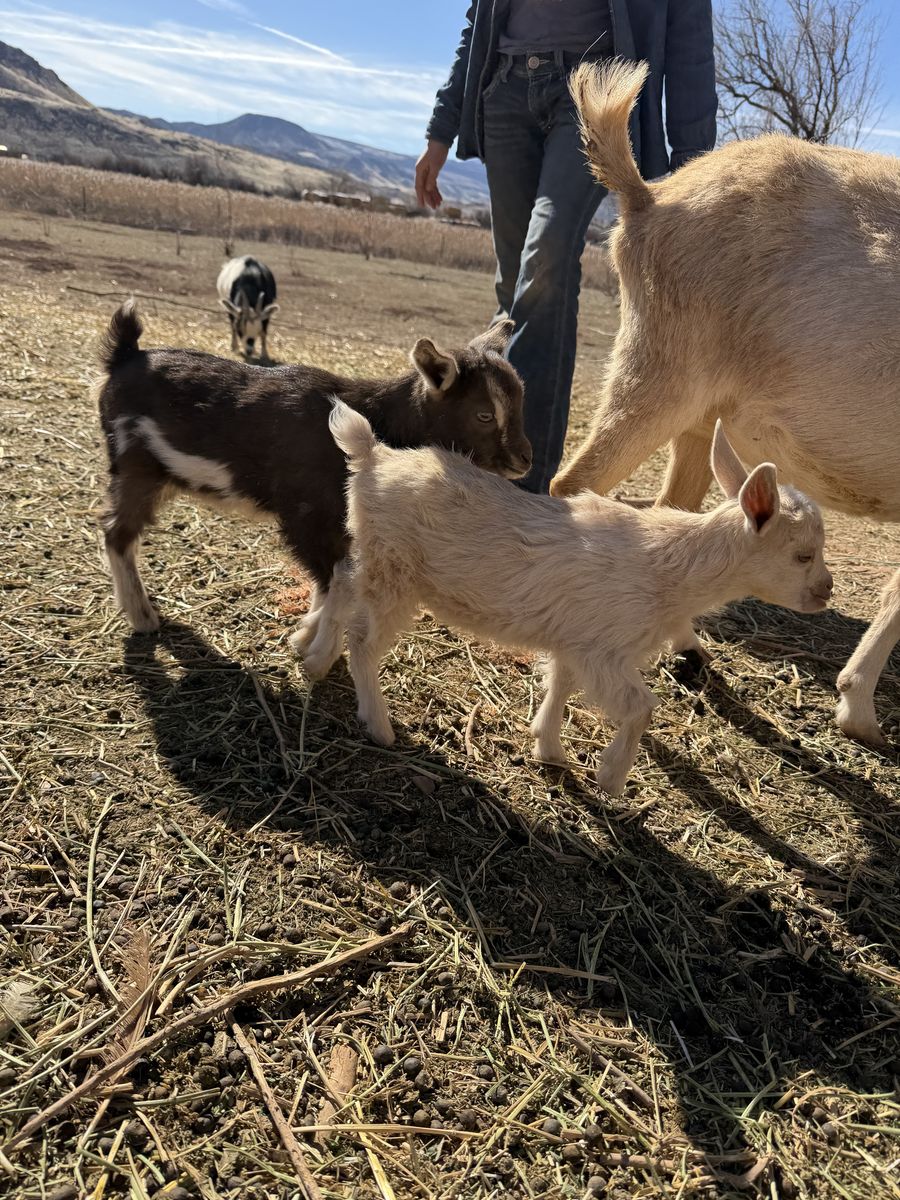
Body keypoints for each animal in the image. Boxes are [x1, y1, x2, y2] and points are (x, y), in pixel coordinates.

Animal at [96, 303, 532, 668]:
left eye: (519, 402)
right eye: (483, 414)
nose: (524, 460)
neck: (376, 414)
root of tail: (125, 355)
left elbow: (336, 581)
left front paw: (306, 638)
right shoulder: (307, 515)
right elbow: (336, 580)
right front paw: (318, 653)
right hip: (135, 465)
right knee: (116, 532)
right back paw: (143, 616)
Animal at [330, 403, 833, 796]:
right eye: (803, 555)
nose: (825, 592)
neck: (668, 570)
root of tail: (371, 454)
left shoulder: (574, 638)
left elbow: (561, 685)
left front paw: (549, 750)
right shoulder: (603, 648)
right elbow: (641, 708)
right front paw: (610, 778)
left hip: (374, 555)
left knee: (339, 581)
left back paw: (315, 654)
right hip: (395, 571)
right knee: (363, 640)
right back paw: (379, 725)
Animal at [549, 60, 900, 747]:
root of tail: (650, 197)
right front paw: (859, 712)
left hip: (701, 416)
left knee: (672, 510)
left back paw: (688, 651)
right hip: (661, 369)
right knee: (570, 484)